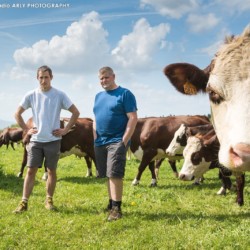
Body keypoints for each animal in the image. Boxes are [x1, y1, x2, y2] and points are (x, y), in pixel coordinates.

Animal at [163, 25, 249, 205]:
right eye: (212, 92)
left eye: (195, 156)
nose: (182, 175)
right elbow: (226, 177)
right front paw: (225, 190)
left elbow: (237, 178)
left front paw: (238, 200)